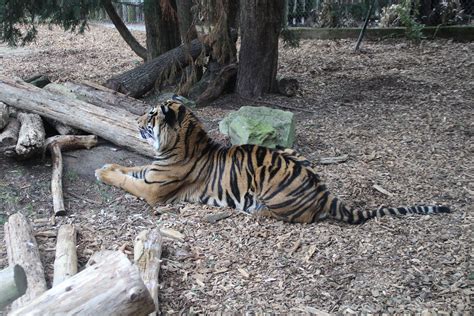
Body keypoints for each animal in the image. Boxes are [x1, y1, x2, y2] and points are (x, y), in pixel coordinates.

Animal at [94, 97, 450, 223]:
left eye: (150, 115)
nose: (135, 122)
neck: (177, 146)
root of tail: (323, 192)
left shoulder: (154, 190)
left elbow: (127, 180)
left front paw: (103, 173)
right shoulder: (152, 172)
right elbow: (131, 168)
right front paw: (108, 166)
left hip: (273, 182)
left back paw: (257, 211)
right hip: (291, 152)